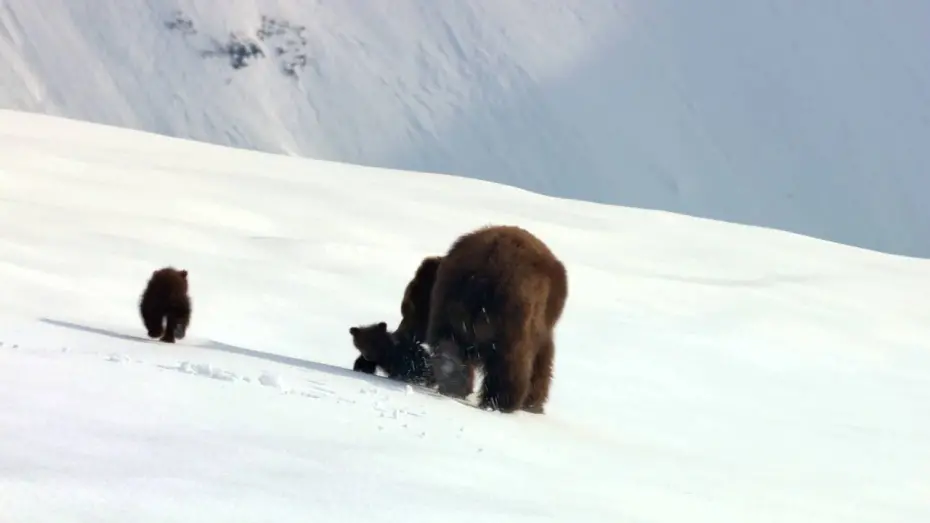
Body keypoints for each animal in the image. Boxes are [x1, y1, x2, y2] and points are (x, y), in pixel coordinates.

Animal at [396, 224, 564, 414]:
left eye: (407, 311)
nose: (400, 333)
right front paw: (533, 402)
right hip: (513, 315)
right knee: (510, 361)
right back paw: (502, 401)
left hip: (454, 302)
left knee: (451, 350)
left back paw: (456, 387)